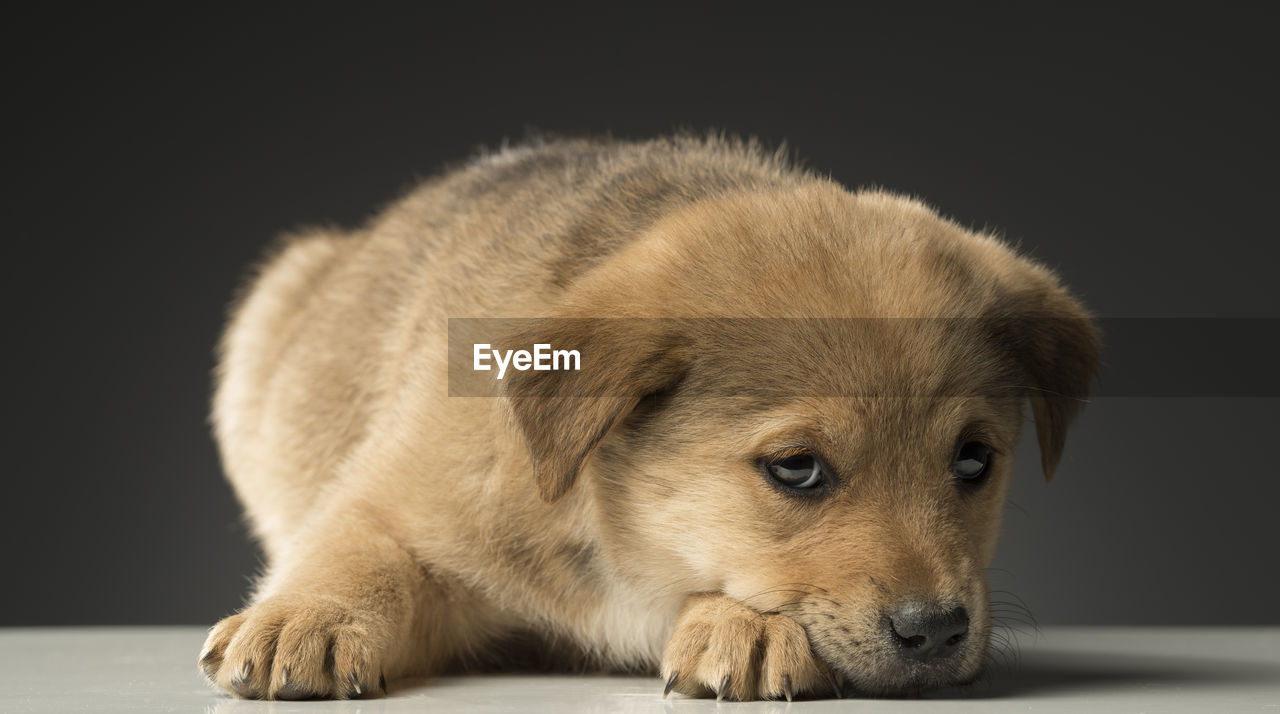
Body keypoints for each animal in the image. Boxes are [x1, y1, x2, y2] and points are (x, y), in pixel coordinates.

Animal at [202, 134, 1100, 701]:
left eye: (975, 460)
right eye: (796, 467)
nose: (937, 632)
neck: (603, 524)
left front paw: (742, 624)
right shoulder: (396, 499)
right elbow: (355, 551)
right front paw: (305, 617)